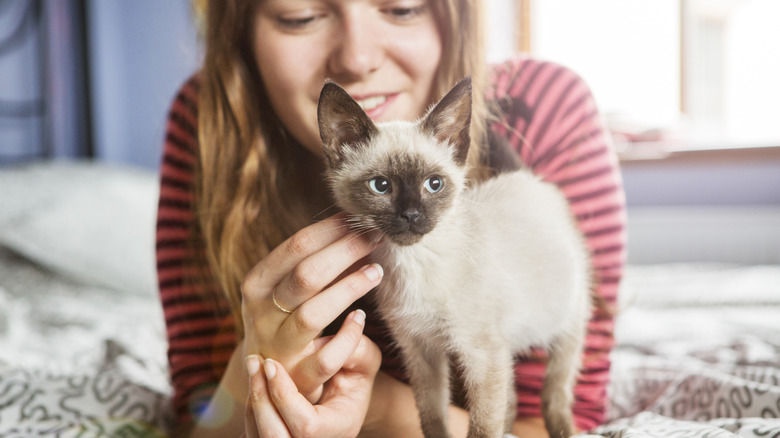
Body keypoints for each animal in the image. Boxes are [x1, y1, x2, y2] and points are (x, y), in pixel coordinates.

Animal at [316, 78, 592, 438]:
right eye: (381, 186)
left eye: (434, 184)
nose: (411, 215)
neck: (414, 263)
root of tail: (526, 179)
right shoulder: (421, 351)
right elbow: (433, 417)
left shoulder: (481, 355)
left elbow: (482, 428)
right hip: (504, 346)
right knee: (511, 399)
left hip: (566, 323)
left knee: (555, 391)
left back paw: (563, 429)